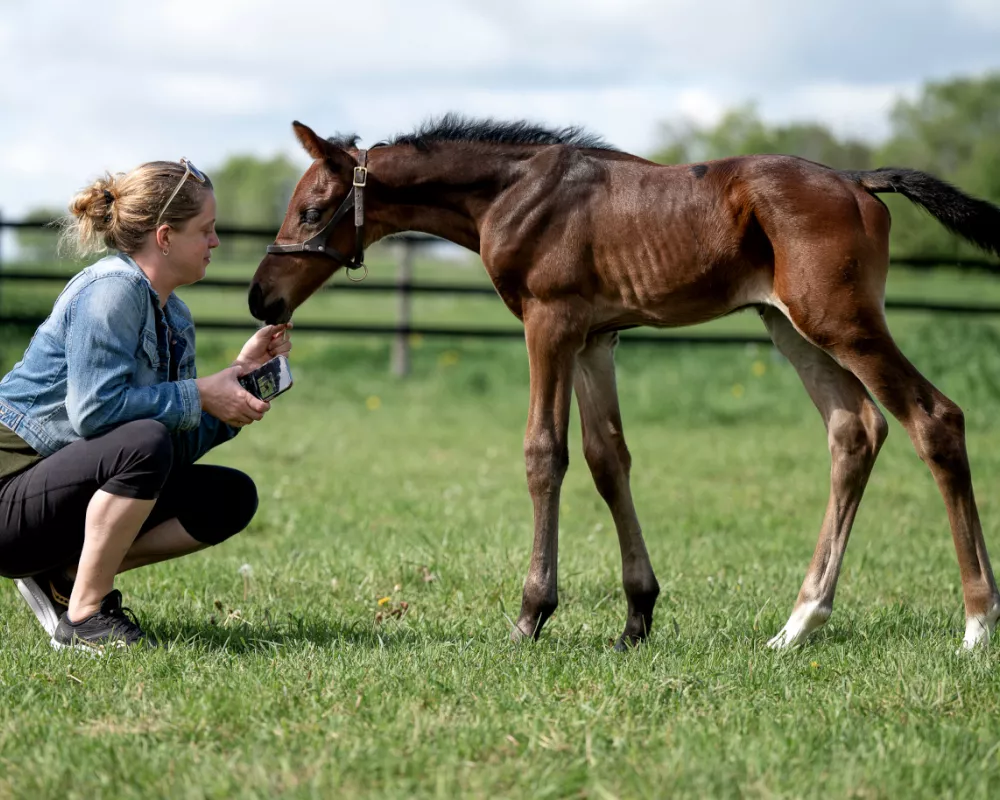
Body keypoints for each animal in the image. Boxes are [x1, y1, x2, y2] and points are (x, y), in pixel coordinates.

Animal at [254, 114, 1000, 648]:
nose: (262, 298)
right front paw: (636, 618)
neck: (511, 193)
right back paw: (799, 623)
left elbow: (544, 454)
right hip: (791, 326)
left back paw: (976, 622)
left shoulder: (550, 324)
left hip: (842, 321)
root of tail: (856, 180)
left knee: (934, 418)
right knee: (855, 430)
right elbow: (607, 458)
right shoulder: (595, 339)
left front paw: (531, 614)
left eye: (313, 210)